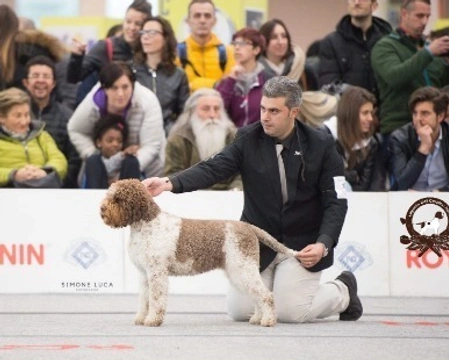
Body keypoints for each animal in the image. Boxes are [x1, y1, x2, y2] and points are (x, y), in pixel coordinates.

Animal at [100, 179, 300, 328]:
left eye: (118, 198)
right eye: (110, 195)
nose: (102, 209)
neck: (147, 224)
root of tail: (249, 227)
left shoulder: (157, 272)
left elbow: (156, 298)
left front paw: (153, 320)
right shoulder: (144, 273)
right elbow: (144, 298)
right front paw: (141, 318)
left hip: (243, 268)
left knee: (266, 295)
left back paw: (268, 320)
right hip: (239, 271)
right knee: (256, 295)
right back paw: (258, 318)